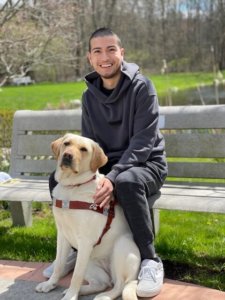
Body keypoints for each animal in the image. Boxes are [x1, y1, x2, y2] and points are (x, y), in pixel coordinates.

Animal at [35, 134, 141, 300]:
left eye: (83, 149)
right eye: (66, 144)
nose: (67, 155)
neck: (72, 186)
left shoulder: (85, 241)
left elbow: (76, 276)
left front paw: (71, 296)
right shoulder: (62, 235)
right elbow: (59, 264)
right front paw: (50, 284)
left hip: (121, 249)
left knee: (119, 285)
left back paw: (103, 296)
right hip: (90, 263)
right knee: (103, 283)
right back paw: (83, 290)